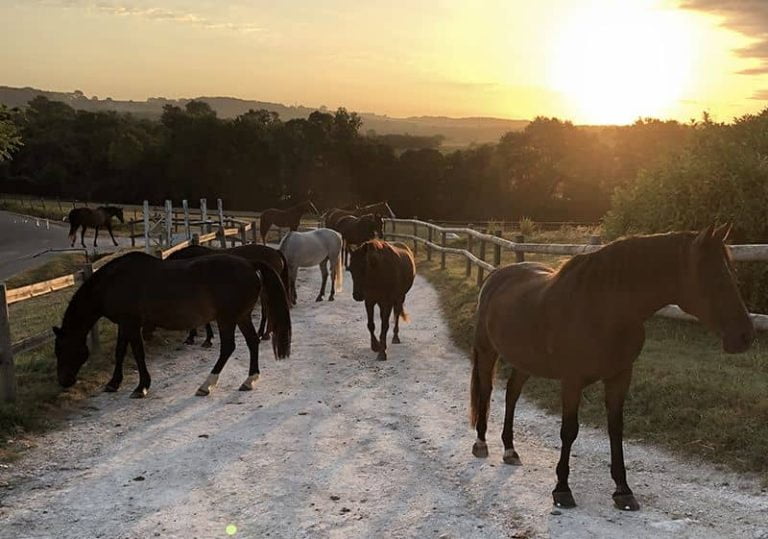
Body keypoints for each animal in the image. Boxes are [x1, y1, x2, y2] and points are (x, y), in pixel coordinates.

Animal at [53, 251, 291, 398]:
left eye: (63, 350)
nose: (64, 381)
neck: (114, 281)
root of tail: (250, 264)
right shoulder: (124, 324)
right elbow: (120, 352)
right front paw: (113, 383)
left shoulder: (131, 323)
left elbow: (137, 353)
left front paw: (141, 387)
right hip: (241, 317)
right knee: (252, 342)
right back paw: (250, 380)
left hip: (227, 319)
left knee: (228, 347)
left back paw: (206, 385)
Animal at [470, 225, 754, 511]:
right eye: (716, 278)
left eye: (733, 274)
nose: (745, 336)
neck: (605, 310)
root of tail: (496, 275)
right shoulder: (572, 380)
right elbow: (569, 431)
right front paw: (562, 489)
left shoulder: (620, 377)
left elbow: (616, 429)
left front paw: (623, 490)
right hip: (487, 351)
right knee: (486, 390)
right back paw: (481, 443)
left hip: (525, 360)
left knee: (512, 393)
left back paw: (510, 449)